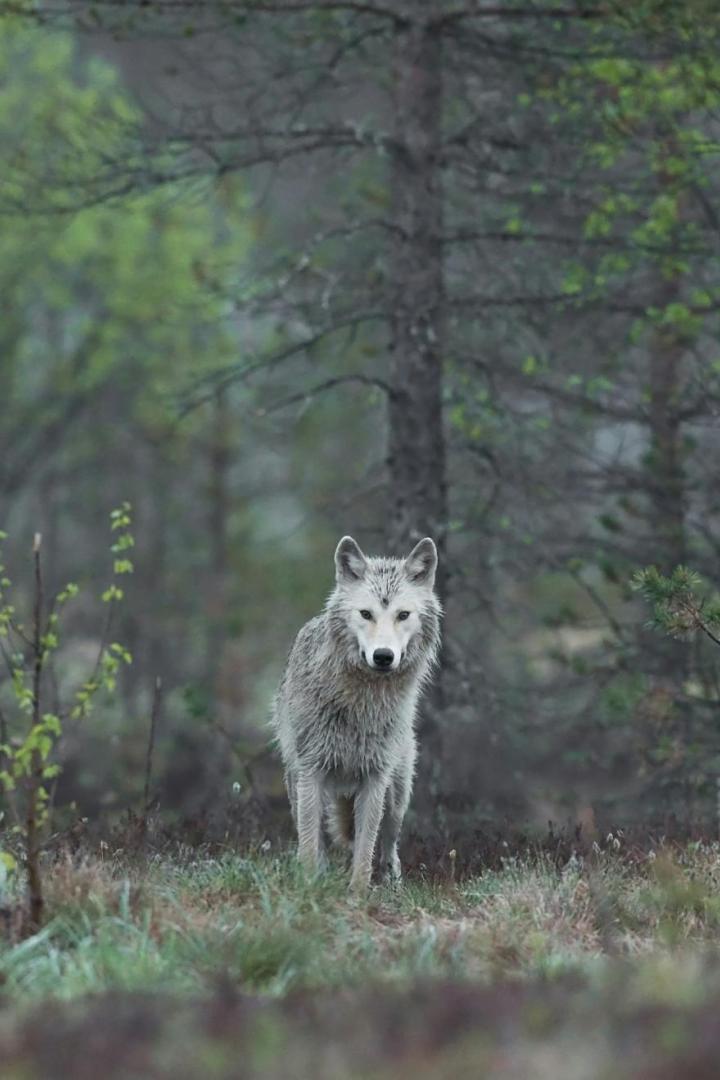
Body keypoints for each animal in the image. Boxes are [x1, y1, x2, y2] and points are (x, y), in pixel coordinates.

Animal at [271, 534, 441, 892]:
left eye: (403, 615)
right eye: (366, 613)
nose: (383, 656)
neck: (362, 703)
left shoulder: (375, 778)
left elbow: (365, 848)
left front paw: (358, 894)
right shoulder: (312, 772)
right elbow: (310, 844)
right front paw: (309, 888)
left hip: (397, 795)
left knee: (388, 846)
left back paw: (392, 884)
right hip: (297, 784)